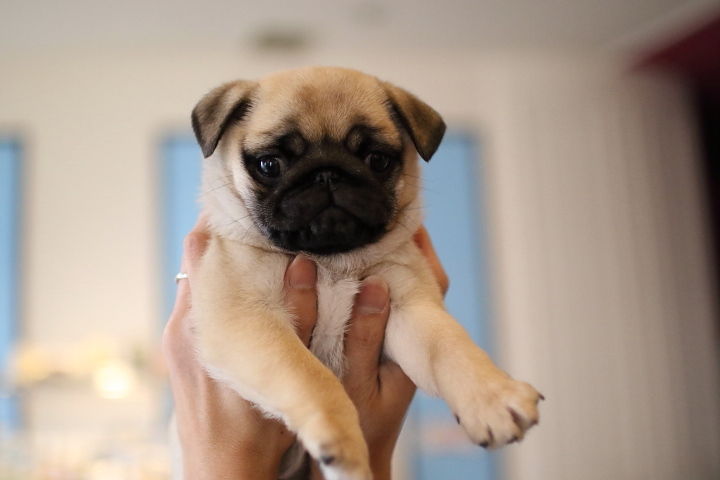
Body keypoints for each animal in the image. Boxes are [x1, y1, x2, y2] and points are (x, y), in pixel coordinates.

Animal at [183, 64, 544, 480]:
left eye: (377, 160)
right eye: (270, 165)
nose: (327, 173)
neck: (331, 261)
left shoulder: (410, 307)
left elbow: (450, 347)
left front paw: (493, 397)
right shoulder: (246, 317)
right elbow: (311, 377)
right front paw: (342, 441)